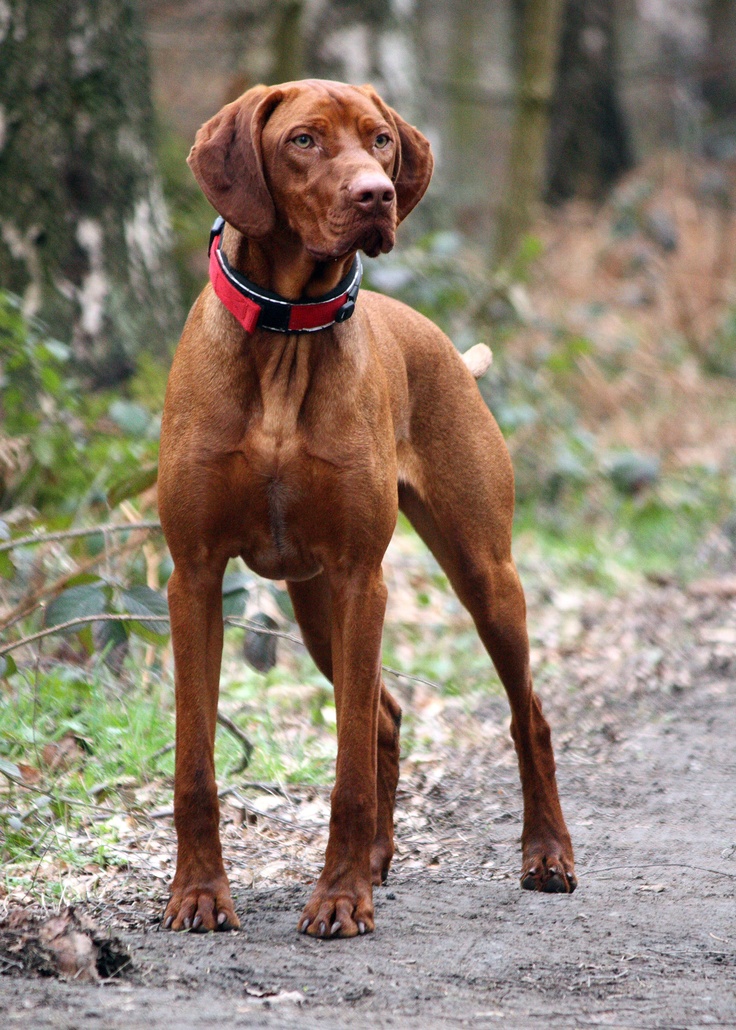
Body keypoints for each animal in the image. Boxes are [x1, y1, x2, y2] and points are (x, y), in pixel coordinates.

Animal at [159, 76, 576, 939]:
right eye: (303, 140)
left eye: (380, 139)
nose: (376, 194)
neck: (286, 339)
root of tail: (445, 345)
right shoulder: (195, 576)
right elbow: (195, 766)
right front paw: (200, 895)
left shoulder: (361, 575)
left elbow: (346, 767)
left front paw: (340, 898)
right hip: (314, 601)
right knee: (383, 715)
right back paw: (381, 860)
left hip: (483, 572)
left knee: (528, 716)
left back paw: (546, 854)